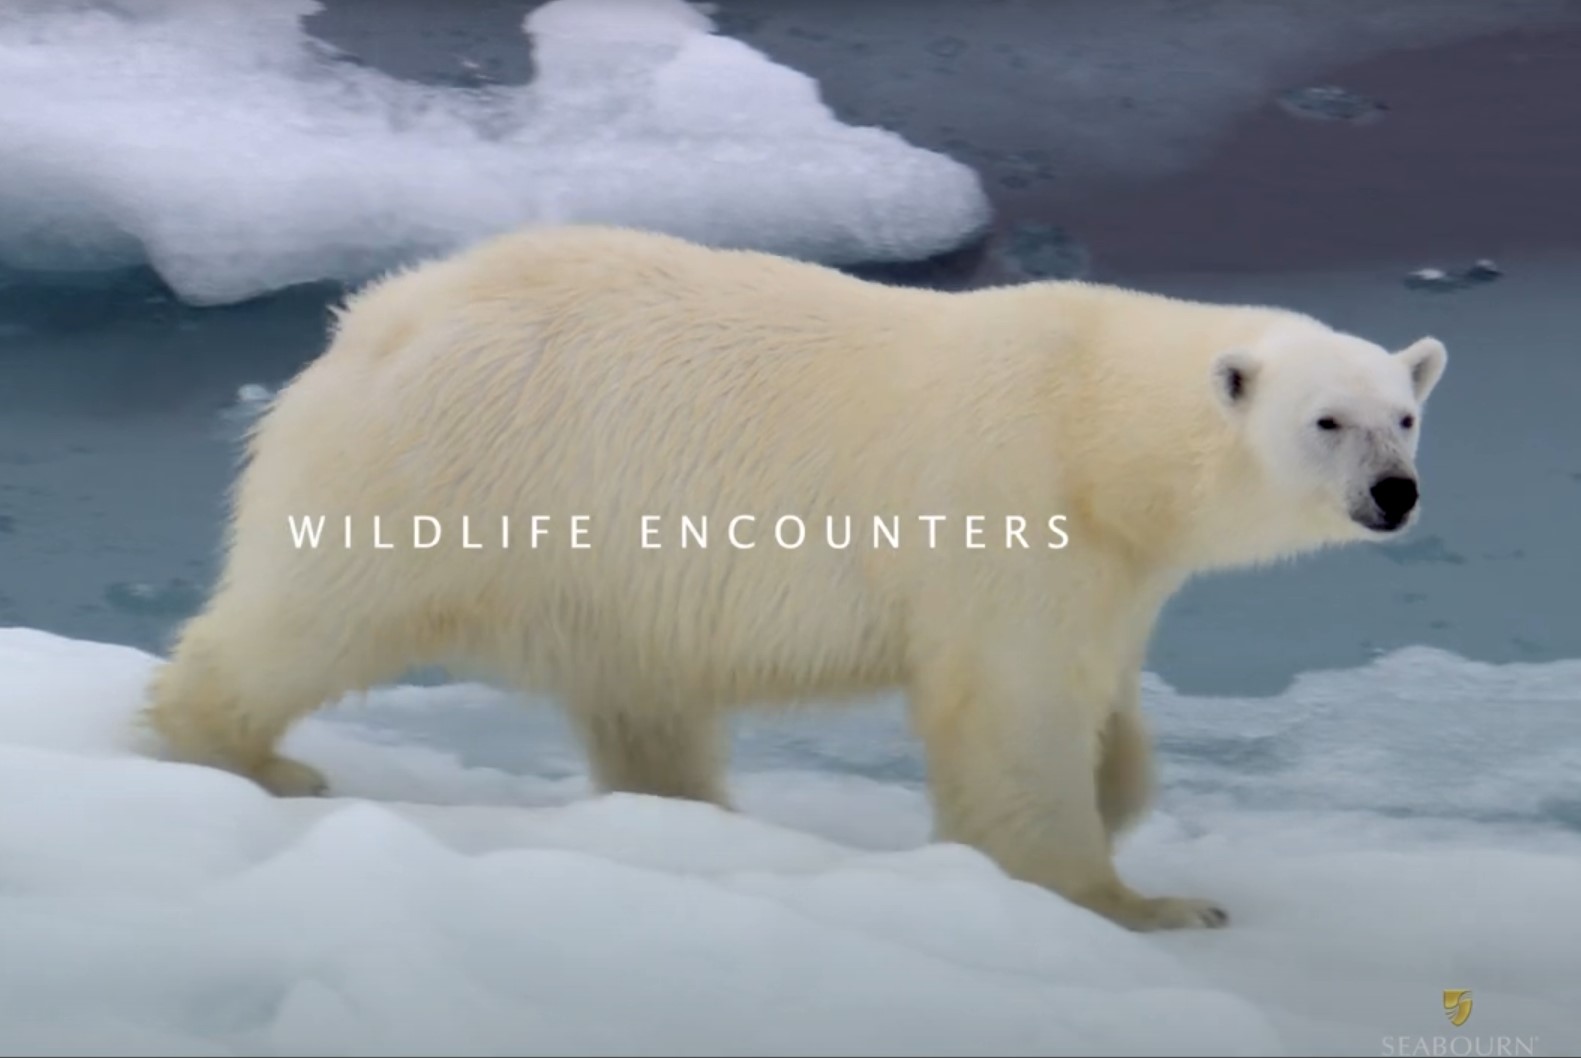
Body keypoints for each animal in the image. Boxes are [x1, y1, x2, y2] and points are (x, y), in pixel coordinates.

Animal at [140, 223, 1448, 932]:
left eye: (1406, 411)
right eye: (1326, 420)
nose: (1396, 493)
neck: (1093, 420)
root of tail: (371, 317)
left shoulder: (1113, 562)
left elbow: (1099, 692)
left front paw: (1123, 793)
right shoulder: (1009, 507)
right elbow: (1010, 712)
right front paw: (1133, 896)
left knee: (642, 697)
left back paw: (694, 816)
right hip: (450, 472)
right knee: (315, 610)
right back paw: (238, 749)